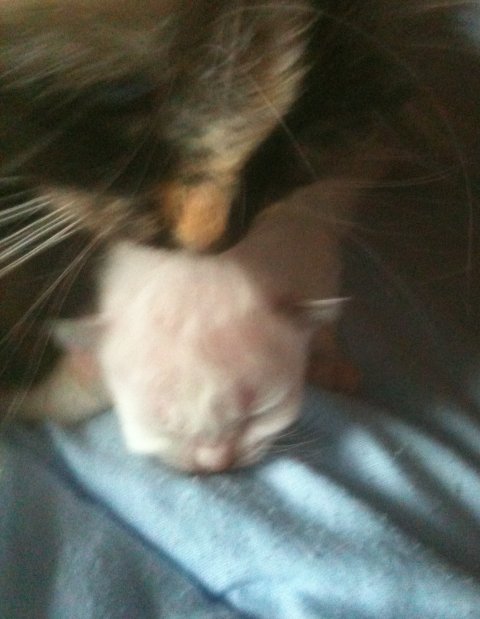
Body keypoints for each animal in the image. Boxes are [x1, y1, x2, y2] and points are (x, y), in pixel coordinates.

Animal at [0, 1, 477, 471]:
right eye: (165, 426)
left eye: (259, 413)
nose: (215, 463)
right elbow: (60, 396)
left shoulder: (315, 236)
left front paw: (332, 361)